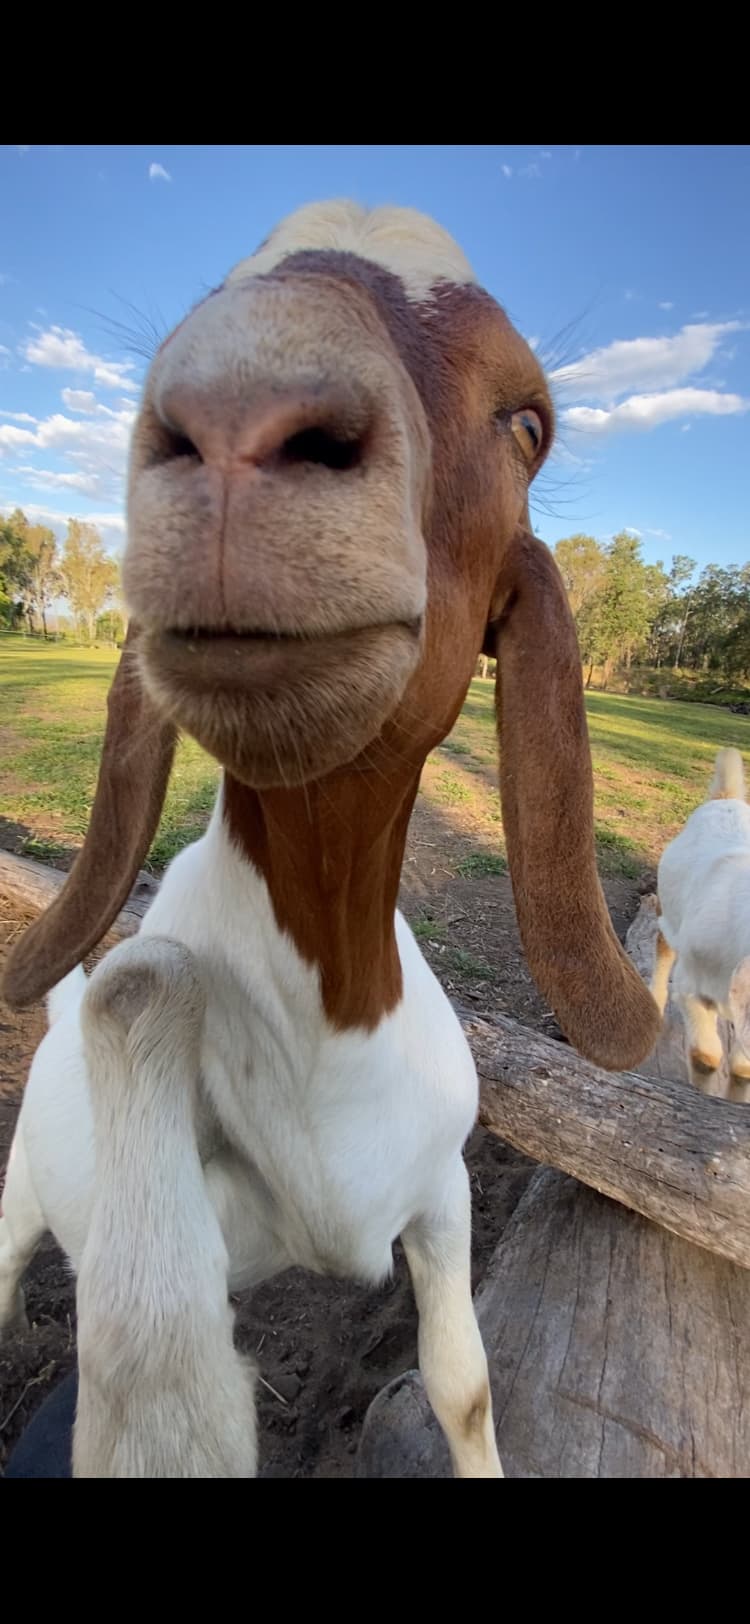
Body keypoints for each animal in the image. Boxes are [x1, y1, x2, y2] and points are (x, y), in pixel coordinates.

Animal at [0, 199, 655, 1474]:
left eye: (529, 424)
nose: (237, 410)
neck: (334, 1017)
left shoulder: (441, 1190)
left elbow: (462, 1383)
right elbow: (156, 1371)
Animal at [649, 747, 750, 1104]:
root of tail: (726, 797)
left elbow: (743, 1068)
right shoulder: (692, 985)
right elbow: (705, 1056)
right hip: (668, 906)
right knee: (663, 944)